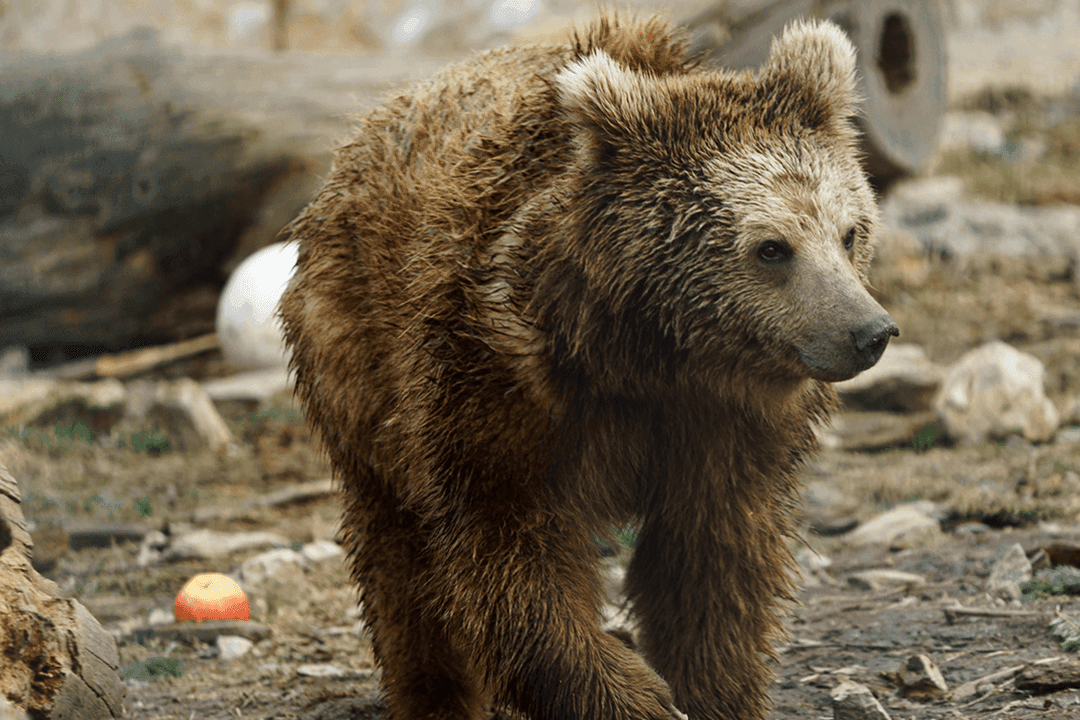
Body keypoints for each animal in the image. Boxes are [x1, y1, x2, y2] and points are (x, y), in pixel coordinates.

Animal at [279, 14, 898, 720]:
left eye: (849, 232)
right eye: (772, 248)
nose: (869, 331)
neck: (649, 357)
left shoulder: (726, 429)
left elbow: (712, 565)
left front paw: (714, 691)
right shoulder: (496, 389)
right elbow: (511, 558)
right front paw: (636, 696)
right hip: (359, 356)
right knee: (397, 551)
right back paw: (433, 694)